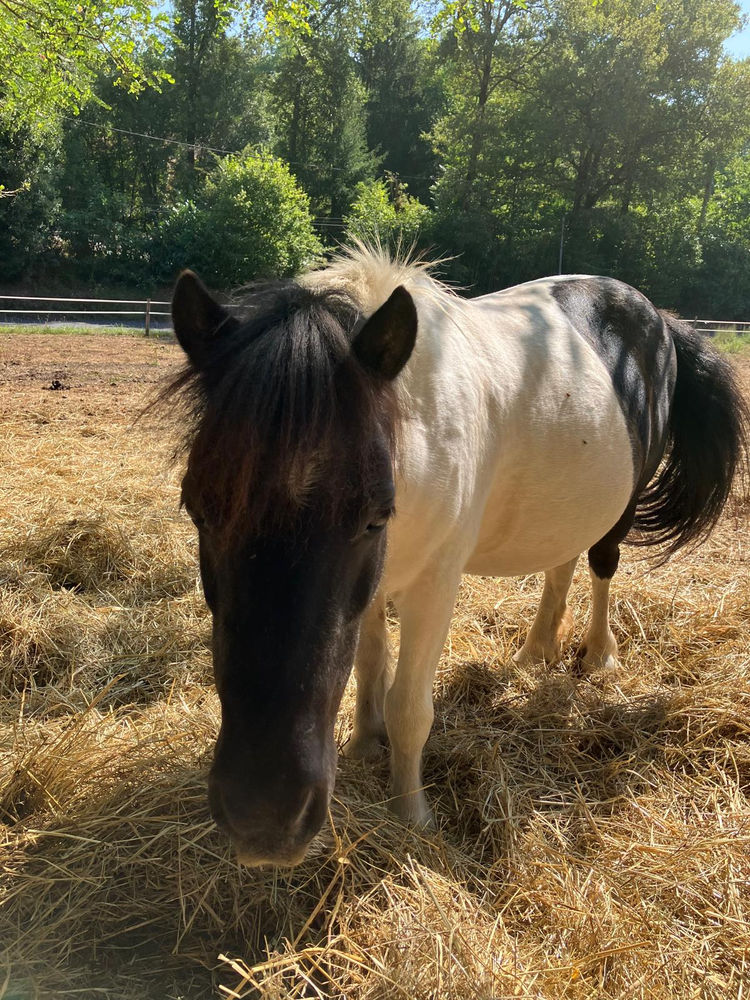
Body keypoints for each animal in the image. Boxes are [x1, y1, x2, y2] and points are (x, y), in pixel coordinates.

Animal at [162, 244, 748, 867]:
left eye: (375, 516)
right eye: (197, 509)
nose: (264, 821)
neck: (414, 426)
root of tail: (659, 319)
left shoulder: (433, 585)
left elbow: (408, 706)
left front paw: (412, 814)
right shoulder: (373, 583)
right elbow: (370, 667)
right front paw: (365, 744)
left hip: (623, 505)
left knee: (601, 565)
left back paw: (597, 655)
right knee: (561, 560)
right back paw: (536, 650)